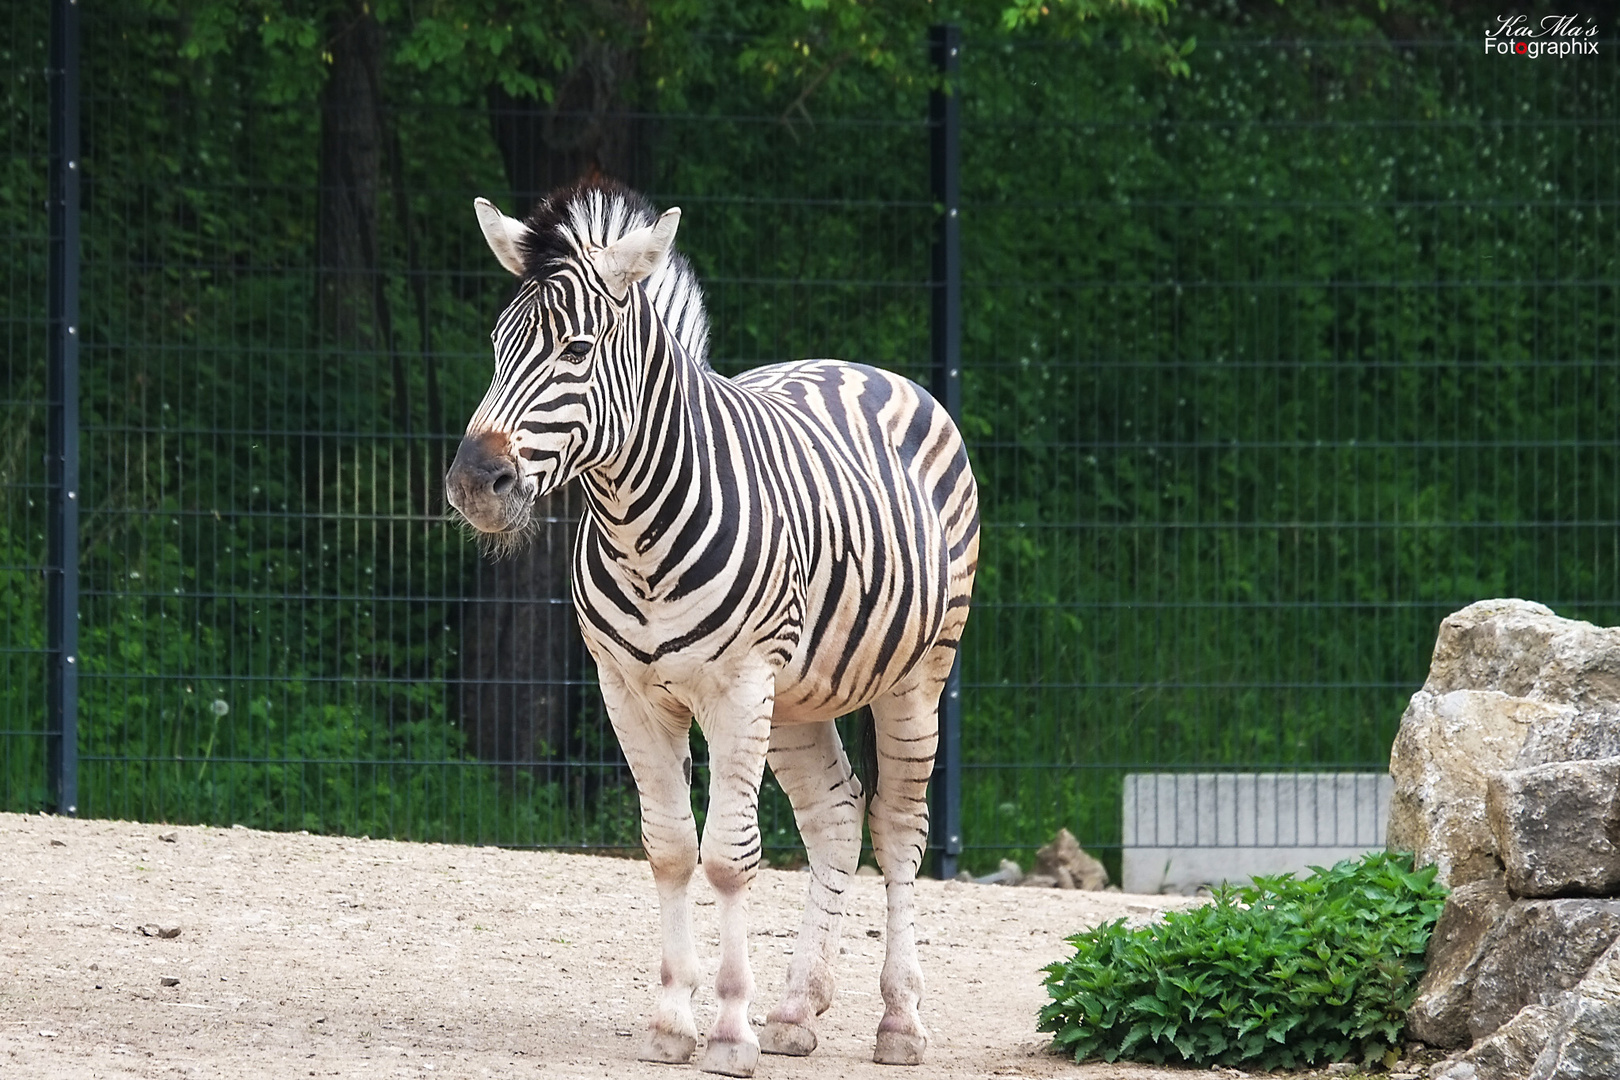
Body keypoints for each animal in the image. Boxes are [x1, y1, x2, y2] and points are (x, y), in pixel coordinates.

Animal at [440, 177, 972, 1075]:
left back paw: (899, 1021)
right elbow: (669, 848)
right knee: (836, 814)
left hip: (915, 676)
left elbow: (729, 857)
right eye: (496, 344)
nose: (475, 483)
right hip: (799, 696)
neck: (637, 528)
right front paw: (672, 1022)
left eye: (575, 351)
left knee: (900, 827)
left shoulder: (738, 686)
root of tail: (858, 366)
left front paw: (727, 1028)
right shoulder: (627, 690)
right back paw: (794, 1010)